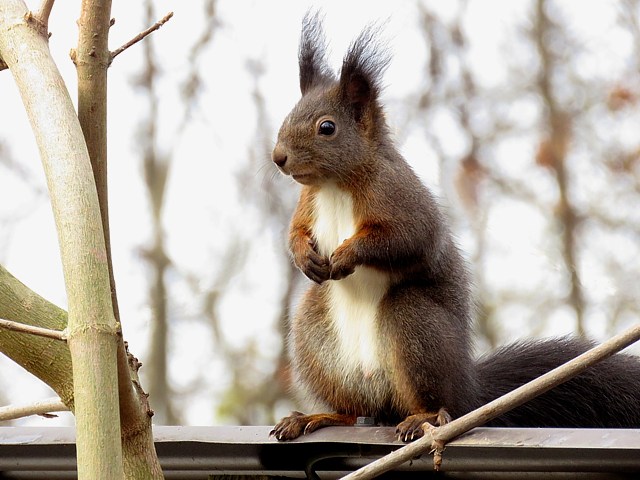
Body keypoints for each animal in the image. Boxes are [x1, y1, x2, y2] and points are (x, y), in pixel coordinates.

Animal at [268, 13, 640, 440]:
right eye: (287, 116)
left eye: (326, 127)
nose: (278, 157)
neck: (334, 185)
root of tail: (470, 391)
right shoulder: (307, 204)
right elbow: (295, 233)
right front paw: (302, 256)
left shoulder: (399, 197)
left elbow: (406, 239)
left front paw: (347, 254)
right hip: (314, 336)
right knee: (355, 409)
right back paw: (316, 417)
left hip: (415, 327)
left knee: (434, 400)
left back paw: (424, 417)